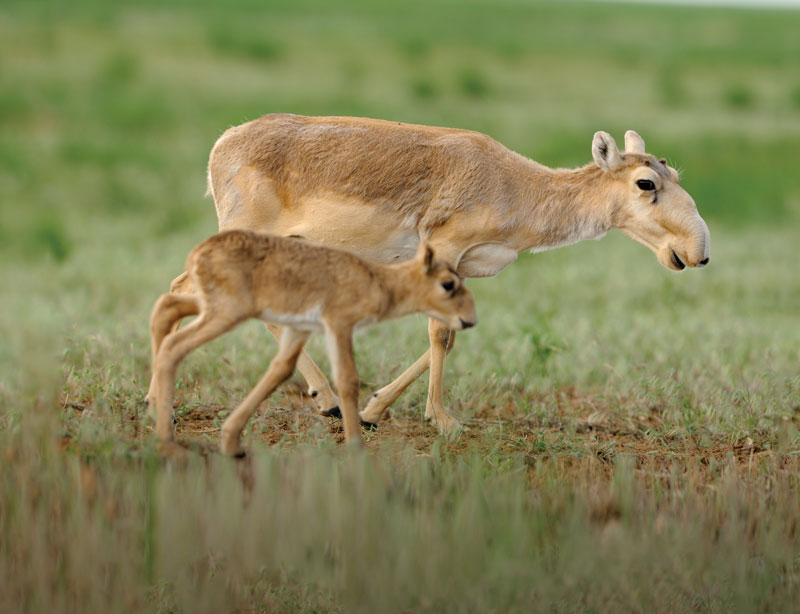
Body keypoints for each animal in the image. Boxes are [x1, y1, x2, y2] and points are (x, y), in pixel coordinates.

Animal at [170, 113, 712, 436]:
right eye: (646, 182)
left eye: (673, 173)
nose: (698, 252)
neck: (516, 185)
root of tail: (222, 144)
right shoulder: (445, 250)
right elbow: (439, 332)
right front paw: (444, 420)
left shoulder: (463, 267)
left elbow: (452, 333)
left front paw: (373, 409)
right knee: (190, 289)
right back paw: (320, 399)